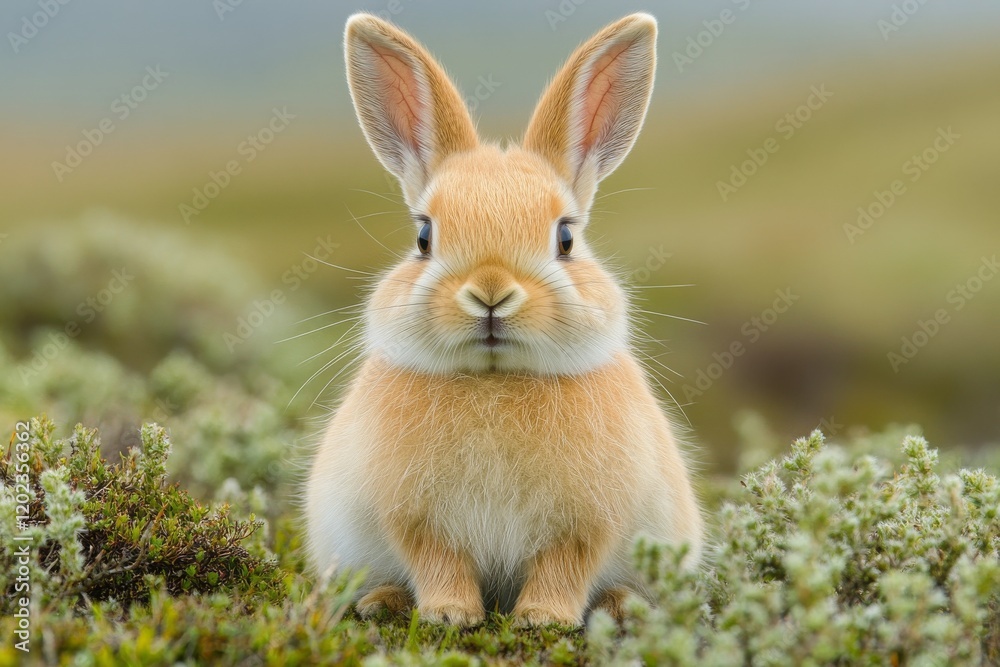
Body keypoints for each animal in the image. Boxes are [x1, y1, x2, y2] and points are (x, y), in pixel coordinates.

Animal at [305, 11, 704, 627]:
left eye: (565, 239)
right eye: (424, 237)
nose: (490, 292)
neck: (495, 378)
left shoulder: (589, 523)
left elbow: (565, 567)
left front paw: (543, 618)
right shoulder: (415, 520)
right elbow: (438, 562)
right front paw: (449, 614)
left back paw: (622, 607)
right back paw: (381, 602)